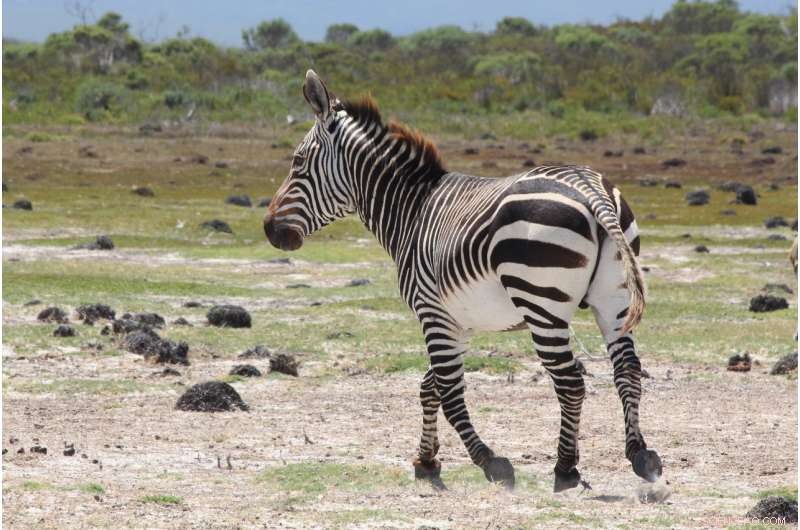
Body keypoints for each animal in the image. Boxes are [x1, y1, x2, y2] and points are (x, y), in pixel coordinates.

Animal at [263, 70, 663, 492]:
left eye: (298, 161)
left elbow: (449, 390)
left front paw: (488, 460)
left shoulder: (431, 312)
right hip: (614, 300)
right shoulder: (459, 322)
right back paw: (639, 453)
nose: (269, 229)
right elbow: (430, 387)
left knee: (570, 381)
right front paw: (426, 459)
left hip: (542, 304)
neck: (411, 210)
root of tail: (591, 187)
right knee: (627, 369)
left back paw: (565, 467)